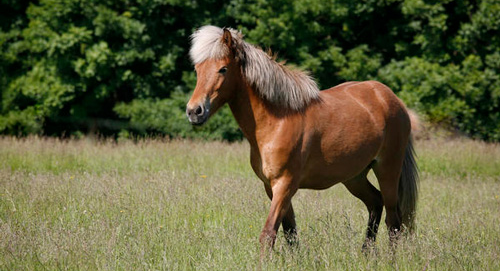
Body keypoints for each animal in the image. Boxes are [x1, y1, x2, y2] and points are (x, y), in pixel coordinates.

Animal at [185, 26, 418, 255]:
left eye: (223, 69)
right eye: (197, 69)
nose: (194, 111)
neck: (277, 121)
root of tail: (390, 98)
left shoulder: (285, 184)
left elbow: (268, 234)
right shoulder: (271, 187)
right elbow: (290, 234)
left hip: (387, 170)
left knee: (393, 221)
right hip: (355, 176)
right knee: (376, 204)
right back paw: (366, 254)